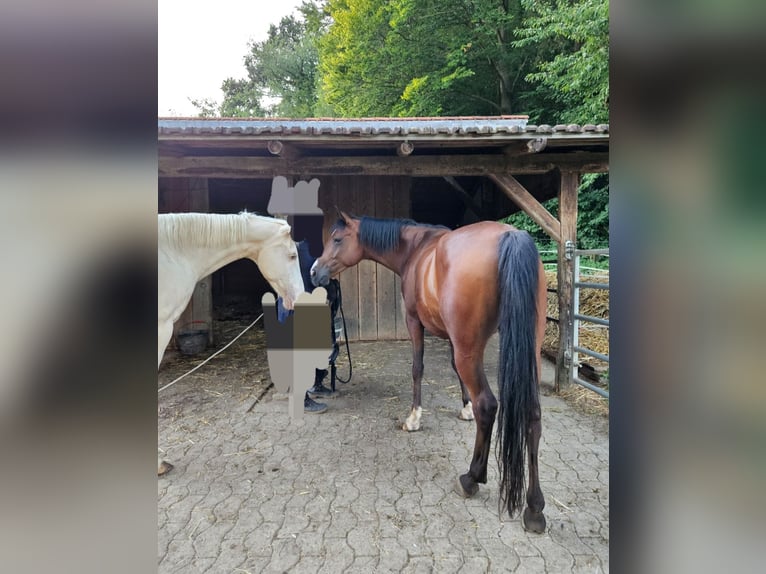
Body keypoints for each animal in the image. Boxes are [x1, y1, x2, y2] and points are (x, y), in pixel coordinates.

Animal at [312, 214, 552, 532]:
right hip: (525, 349)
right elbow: (454, 370)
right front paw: (464, 408)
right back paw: (534, 508)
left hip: (473, 348)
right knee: (532, 414)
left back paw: (471, 478)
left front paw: (414, 417)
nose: (314, 272)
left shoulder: (415, 322)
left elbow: (418, 368)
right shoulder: (453, 338)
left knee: (488, 406)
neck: (416, 248)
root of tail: (509, 237)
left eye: (337, 240)